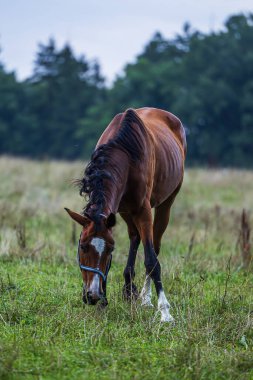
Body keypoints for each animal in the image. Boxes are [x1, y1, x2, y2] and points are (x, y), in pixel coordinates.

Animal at [64, 106, 186, 320]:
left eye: (110, 249)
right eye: (83, 247)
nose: (92, 295)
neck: (125, 154)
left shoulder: (142, 210)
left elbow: (151, 260)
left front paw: (165, 312)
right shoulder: (119, 210)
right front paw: (104, 301)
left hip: (166, 203)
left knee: (155, 246)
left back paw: (146, 298)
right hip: (127, 212)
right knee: (135, 237)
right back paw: (130, 288)